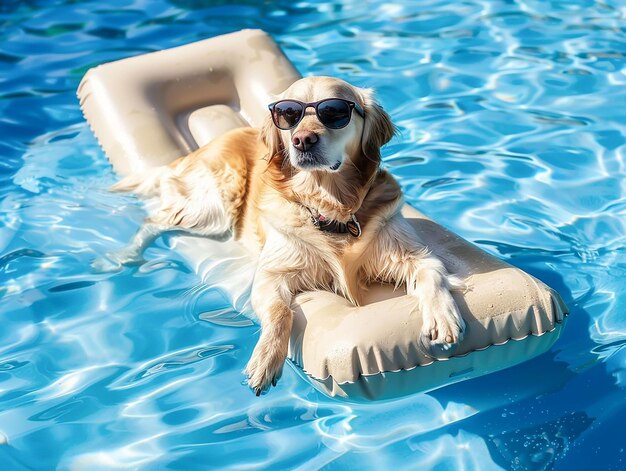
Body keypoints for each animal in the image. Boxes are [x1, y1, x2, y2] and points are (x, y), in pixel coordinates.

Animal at [108, 76, 464, 394]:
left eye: (334, 112)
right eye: (289, 114)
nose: (302, 140)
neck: (330, 207)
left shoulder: (409, 251)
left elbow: (432, 273)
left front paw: (442, 318)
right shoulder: (272, 272)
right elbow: (280, 312)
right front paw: (265, 361)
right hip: (213, 206)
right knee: (155, 220)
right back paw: (125, 256)